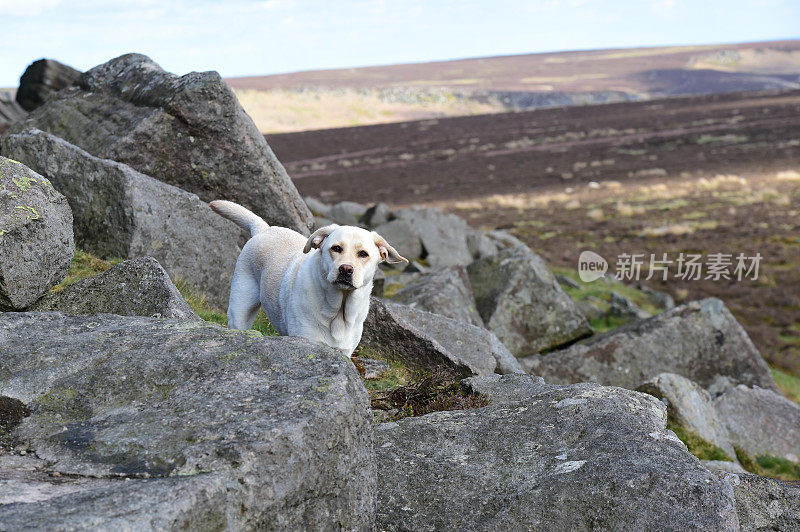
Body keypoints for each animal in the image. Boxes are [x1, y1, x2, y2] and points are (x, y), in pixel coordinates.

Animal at [209, 202, 406, 356]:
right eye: (336, 248)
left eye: (363, 254)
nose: (345, 269)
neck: (338, 311)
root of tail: (264, 229)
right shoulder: (307, 342)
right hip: (240, 311)